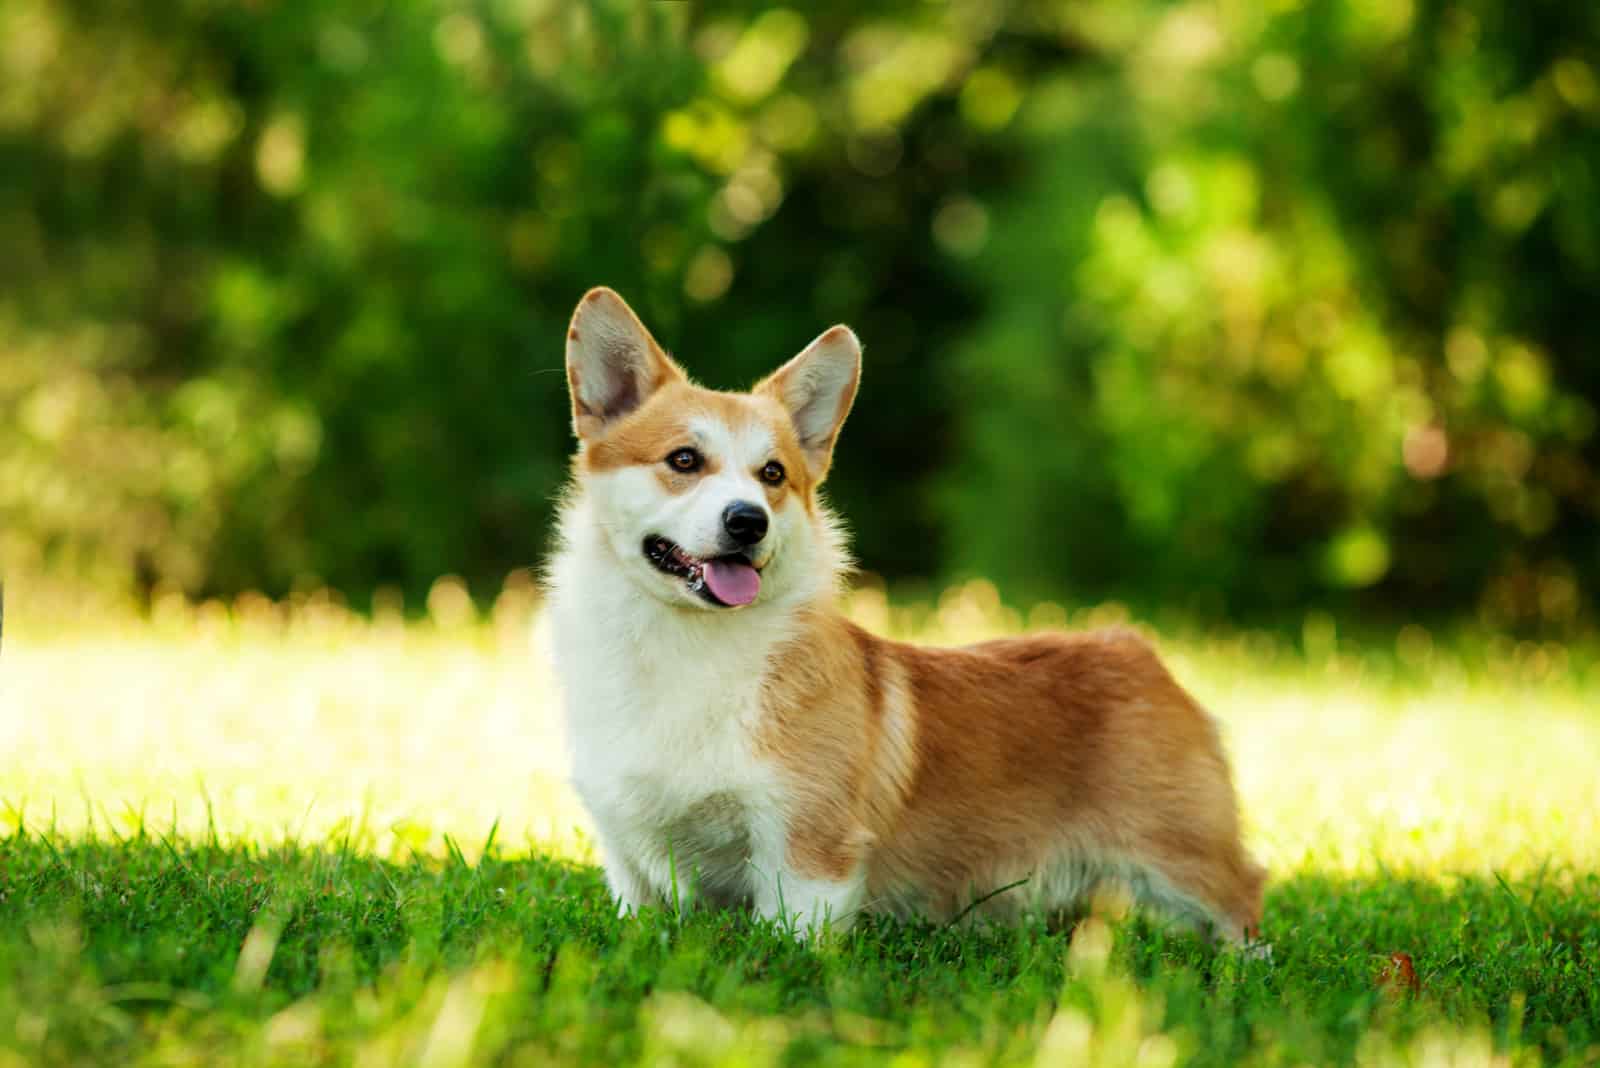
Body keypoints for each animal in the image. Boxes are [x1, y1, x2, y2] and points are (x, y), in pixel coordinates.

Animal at [544, 286, 1267, 940]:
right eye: (684, 460)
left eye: (773, 475)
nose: (748, 522)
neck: (688, 645)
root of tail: (1135, 650)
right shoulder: (629, 858)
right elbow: (644, 919)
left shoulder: (806, 845)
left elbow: (789, 938)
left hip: (1179, 852)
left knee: (1242, 895)